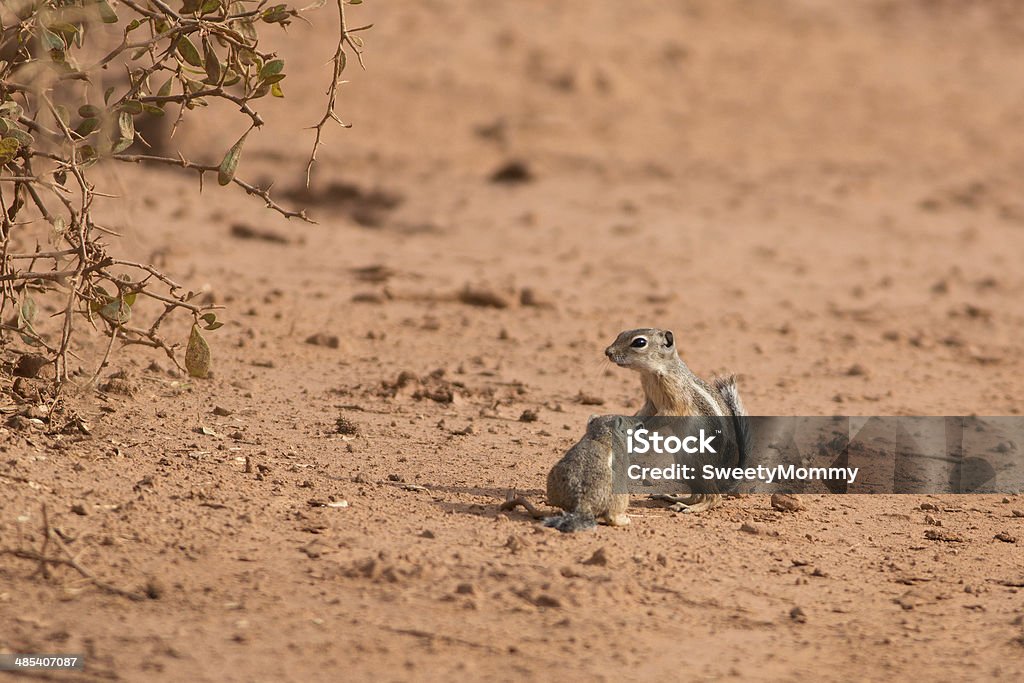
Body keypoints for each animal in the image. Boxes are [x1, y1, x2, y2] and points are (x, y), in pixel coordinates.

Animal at [598, 327, 753, 511]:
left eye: (639, 342)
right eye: (620, 334)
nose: (608, 352)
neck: (652, 372)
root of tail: (722, 475)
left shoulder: (676, 398)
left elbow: (668, 414)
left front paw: (639, 433)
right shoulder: (650, 402)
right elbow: (644, 412)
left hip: (697, 461)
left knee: (714, 497)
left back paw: (692, 508)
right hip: (683, 463)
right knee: (698, 494)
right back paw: (676, 500)